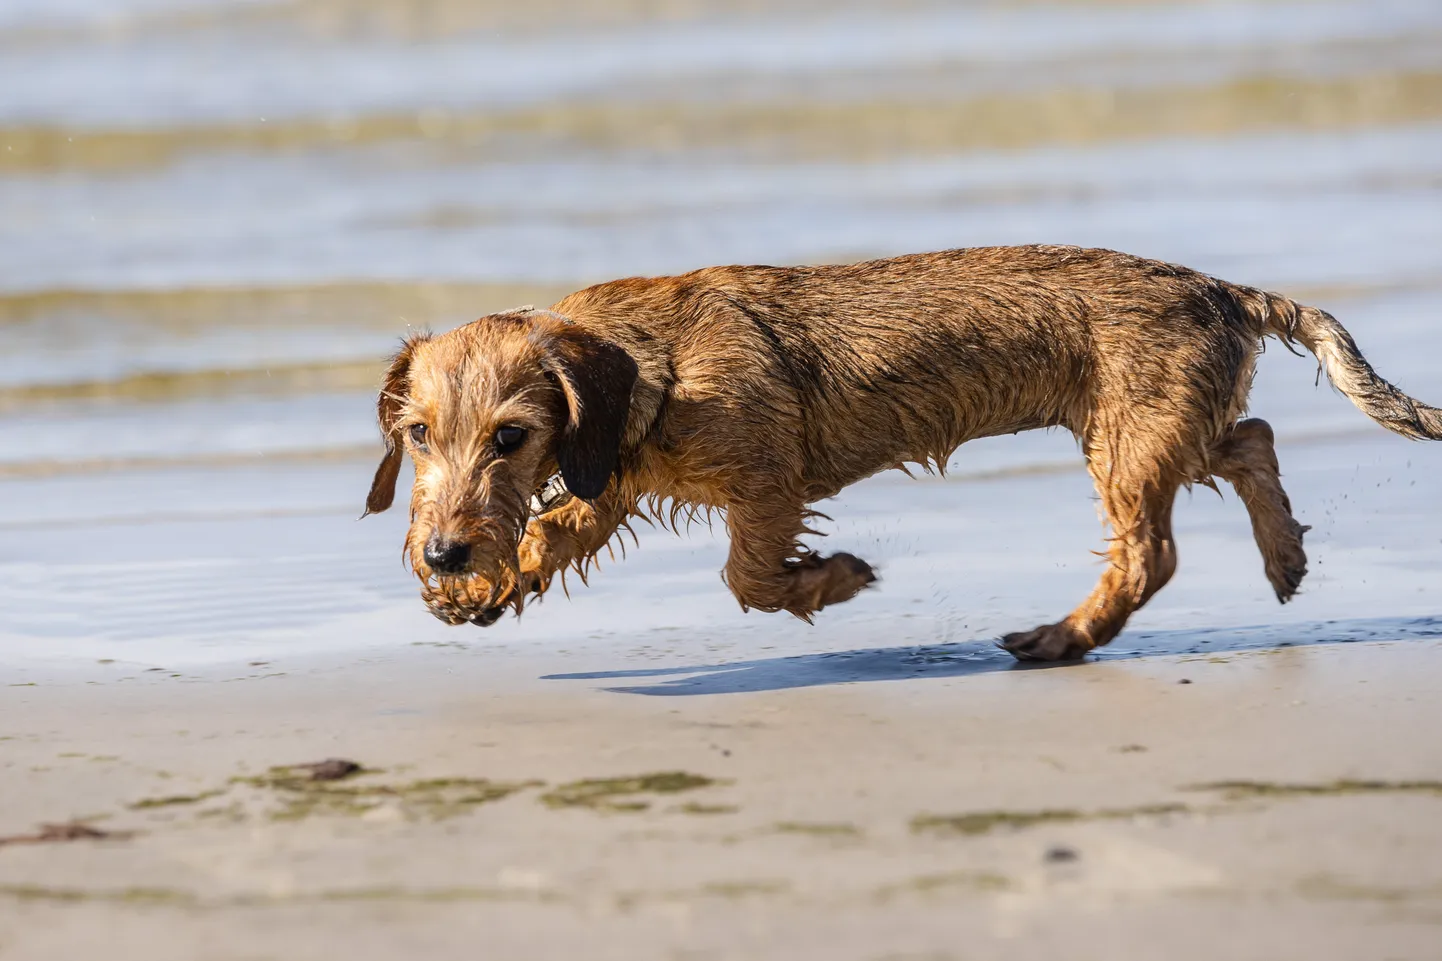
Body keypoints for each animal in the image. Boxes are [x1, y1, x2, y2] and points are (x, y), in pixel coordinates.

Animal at [363, 243, 1442, 657]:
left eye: (512, 435)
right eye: (417, 434)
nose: (441, 551)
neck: (651, 358)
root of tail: (1219, 288)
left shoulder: (764, 484)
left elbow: (748, 577)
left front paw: (831, 578)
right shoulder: (612, 484)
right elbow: (548, 535)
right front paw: (480, 589)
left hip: (1129, 449)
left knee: (1150, 554)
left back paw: (1063, 636)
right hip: (1155, 428)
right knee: (1252, 439)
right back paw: (1283, 557)